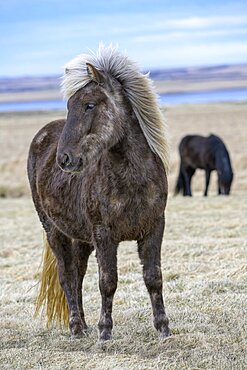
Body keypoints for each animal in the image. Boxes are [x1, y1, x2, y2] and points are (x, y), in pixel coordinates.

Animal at [27, 45, 170, 342]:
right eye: (69, 106)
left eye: (89, 105)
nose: (64, 159)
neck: (133, 180)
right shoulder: (104, 234)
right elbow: (108, 281)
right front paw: (105, 332)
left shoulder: (154, 228)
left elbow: (153, 277)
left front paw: (163, 328)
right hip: (54, 230)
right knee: (67, 275)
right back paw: (76, 327)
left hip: (82, 238)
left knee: (78, 274)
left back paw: (83, 323)